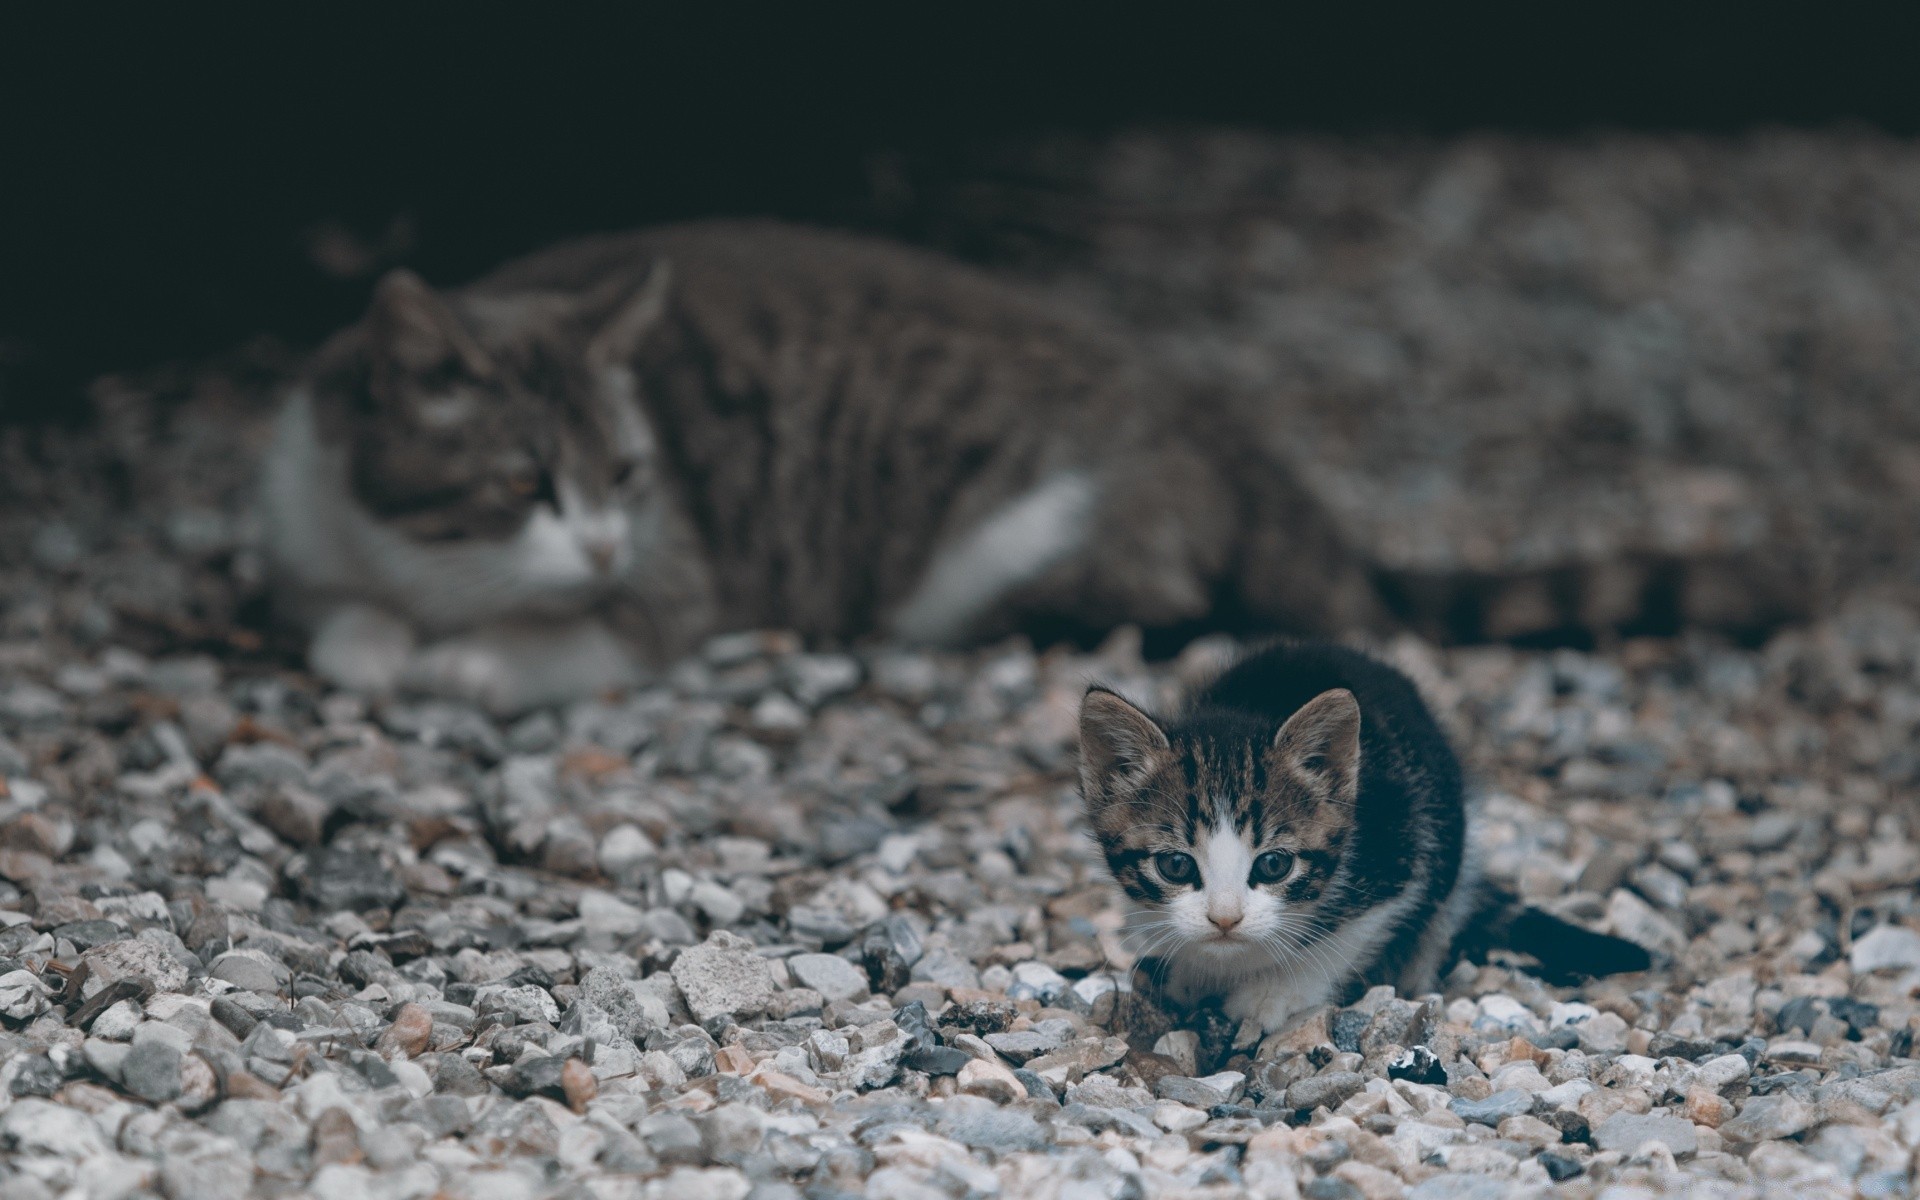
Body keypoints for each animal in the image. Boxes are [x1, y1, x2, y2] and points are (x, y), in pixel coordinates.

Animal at [266, 218, 1382, 706]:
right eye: (519, 484)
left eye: (625, 474)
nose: (601, 549)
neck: (438, 572)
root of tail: (1208, 410)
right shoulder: (304, 523)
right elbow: (334, 614)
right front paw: (373, 643)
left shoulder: (673, 575)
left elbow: (587, 637)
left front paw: (472, 657)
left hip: (1007, 550)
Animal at [1082, 641, 1651, 1036]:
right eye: (1175, 866)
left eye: (1274, 865)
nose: (1225, 920)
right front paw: (1188, 969)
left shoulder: (1401, 856)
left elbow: (1345, 940)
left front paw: (1272, 994)